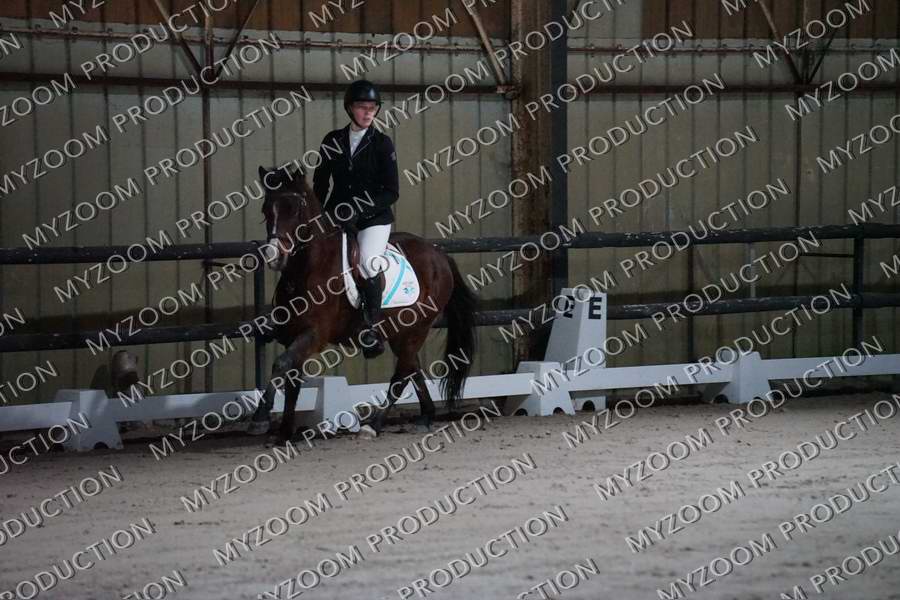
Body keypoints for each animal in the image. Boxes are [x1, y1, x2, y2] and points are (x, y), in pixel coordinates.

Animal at [247, 165, 478, 443]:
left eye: (294, 210)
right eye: (266, 210)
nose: (274, 256)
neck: (307, 270)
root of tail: (440, 255)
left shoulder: (314, 334)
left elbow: (280, 364)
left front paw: (260, 418)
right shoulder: (293, 334)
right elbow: (291, 381)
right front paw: (284, 434)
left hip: (417, 328)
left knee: (401, 376)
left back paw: (374, 425)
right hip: (402, 332)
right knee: (413, 368)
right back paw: (425, 417)